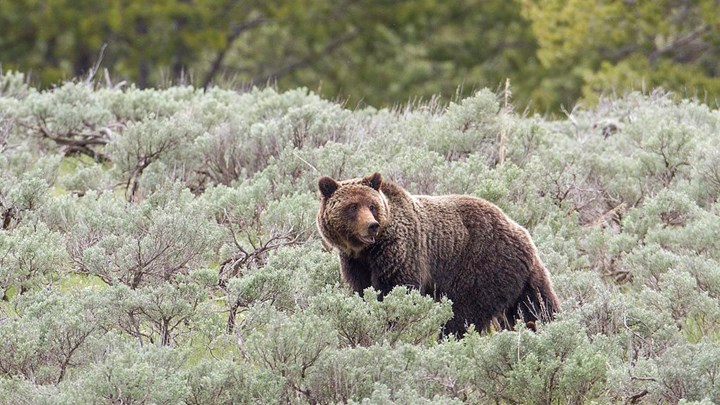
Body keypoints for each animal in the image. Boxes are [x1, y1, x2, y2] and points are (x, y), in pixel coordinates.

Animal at [316, 171, 564, 334]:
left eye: (372, 205)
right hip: (523, 277)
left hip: (481, 265)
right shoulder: (355, 263)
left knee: (464, 312)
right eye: (352, 206)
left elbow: (395, 290)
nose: (372, 225)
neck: (367, 250)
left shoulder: (400, 251)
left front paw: (392, 323)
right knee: (536, 306)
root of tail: (523, 233)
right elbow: (362, 290)